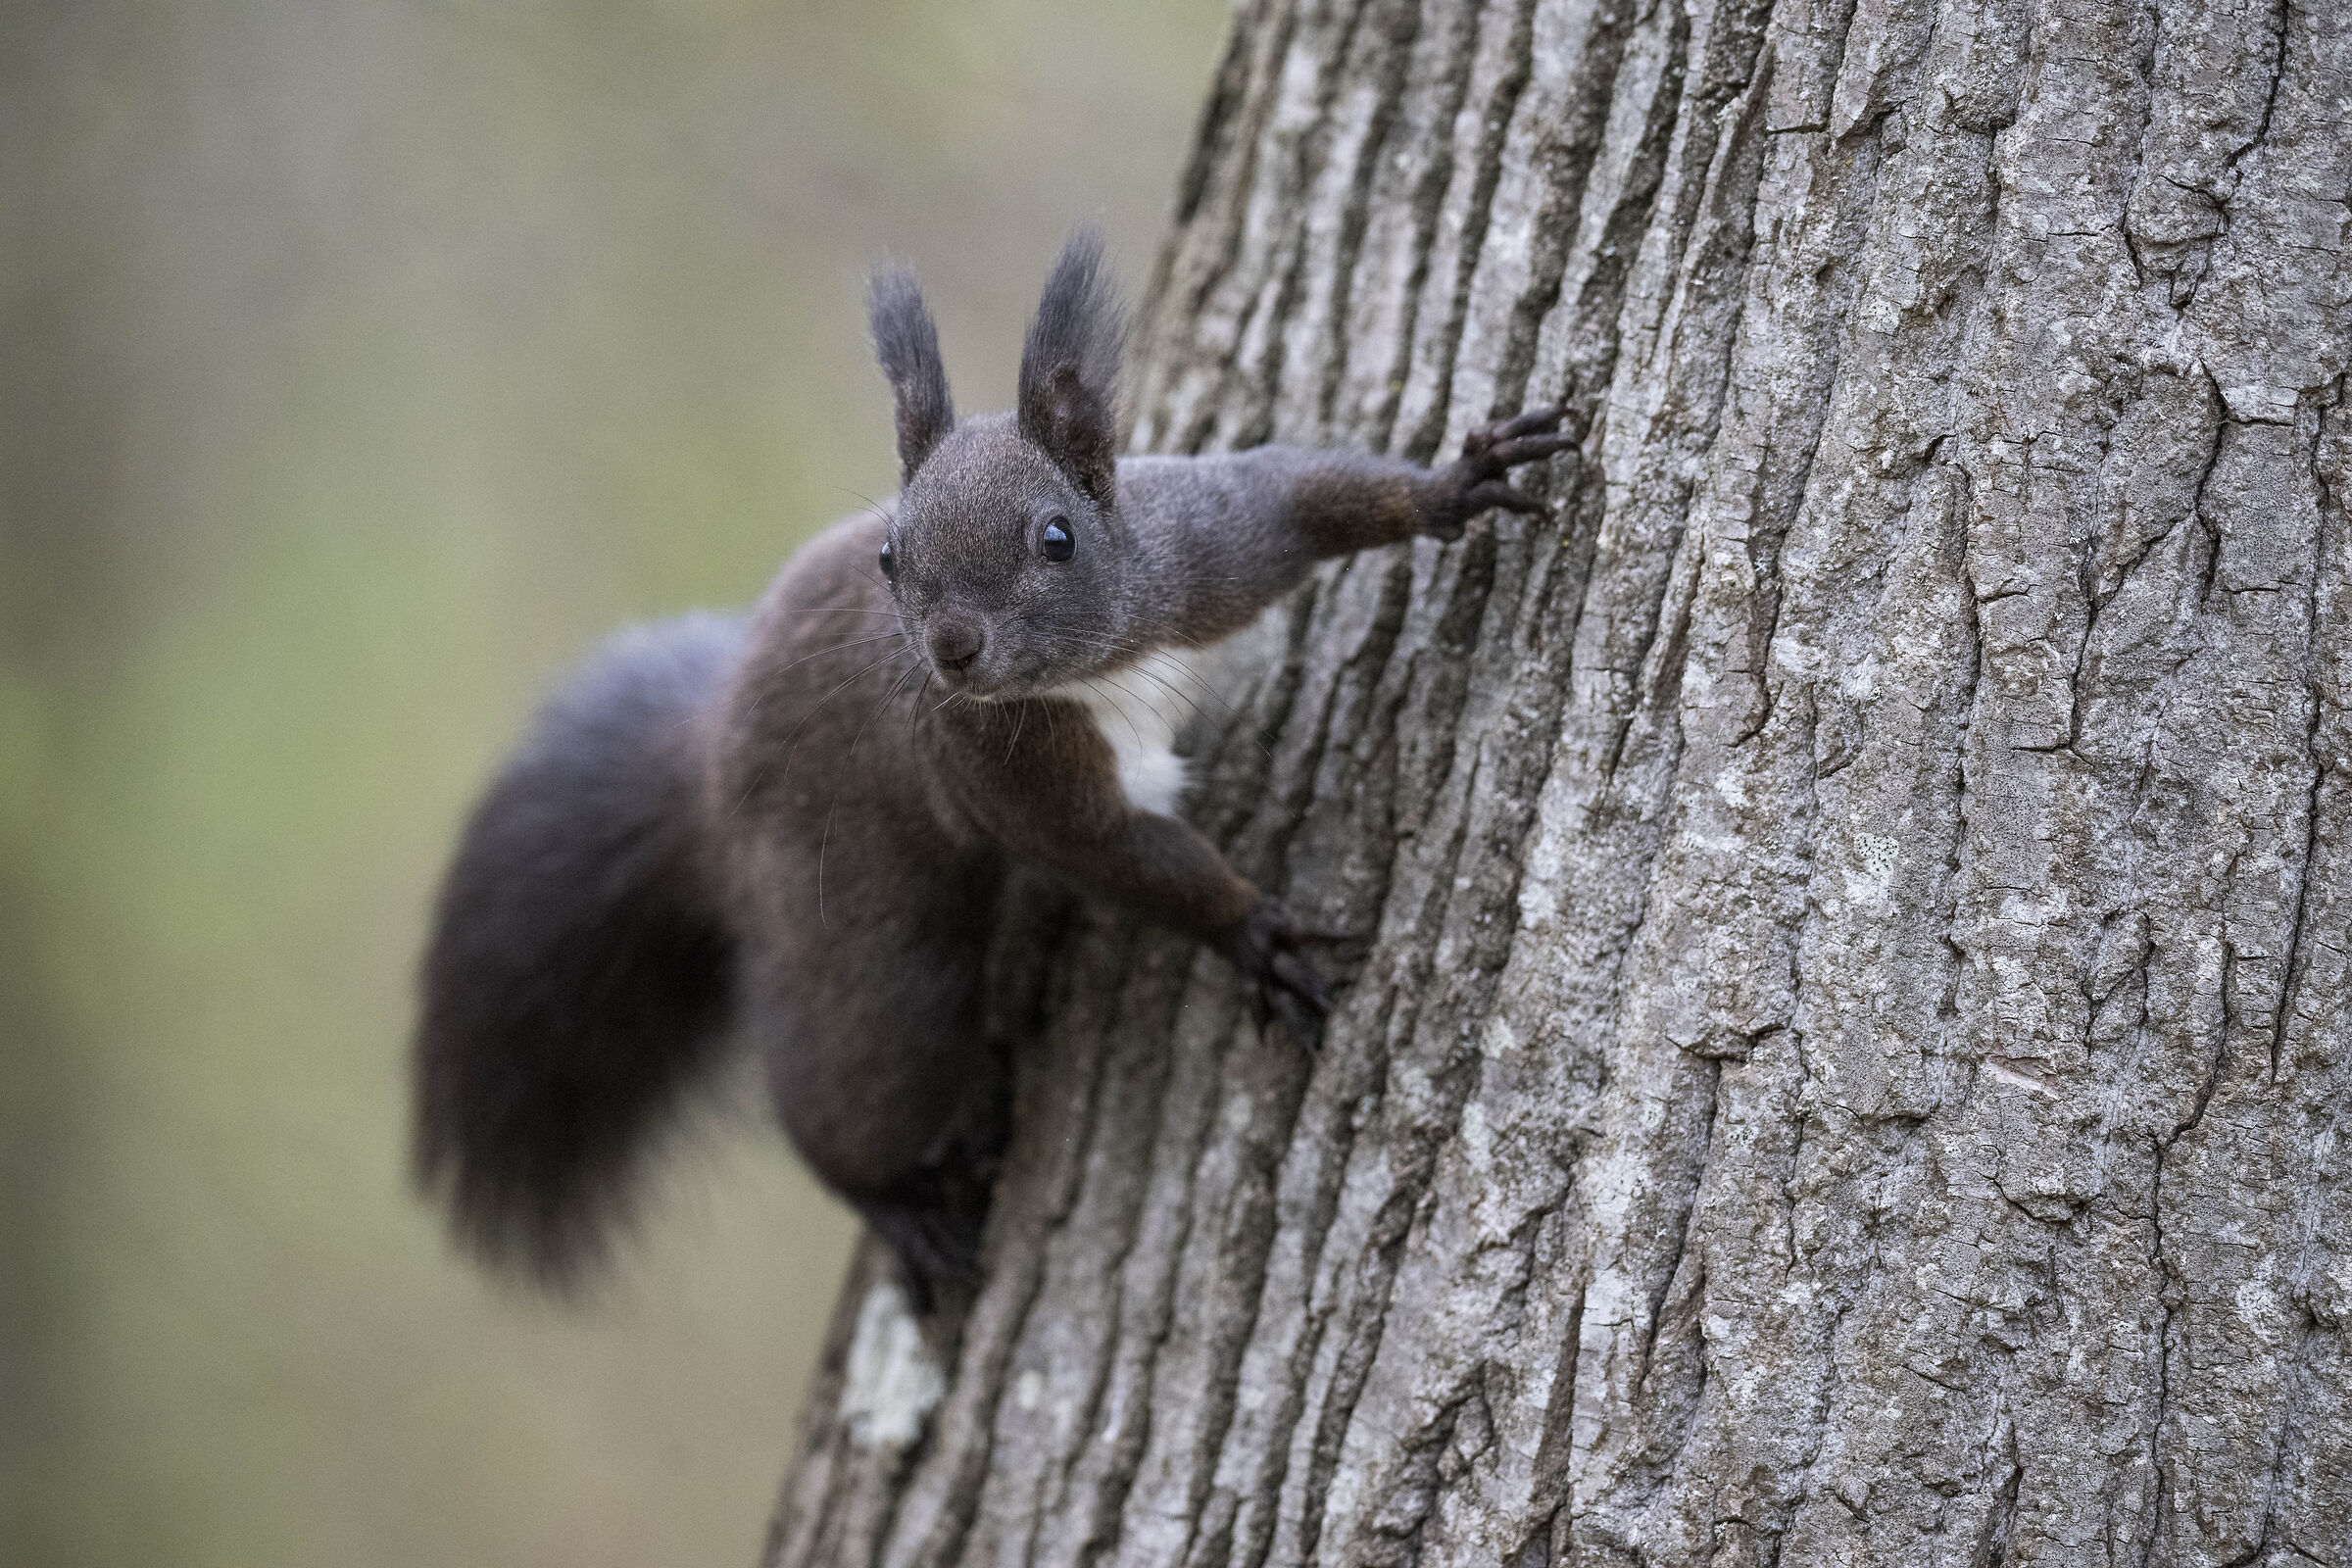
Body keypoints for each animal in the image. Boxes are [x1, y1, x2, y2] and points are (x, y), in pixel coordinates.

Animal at [411, 231, 1573, 1311]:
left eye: (1058, 537)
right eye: (890, 557)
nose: (952, 651)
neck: (1095, 665)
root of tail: (702, 776)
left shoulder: (1198, 550)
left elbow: (1303, 493)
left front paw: (1455, 485)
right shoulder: (1002, 773)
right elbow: (1129, 861)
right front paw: (1256, 934)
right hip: (871, 960)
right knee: (849, 1093)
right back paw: (890, 1202)